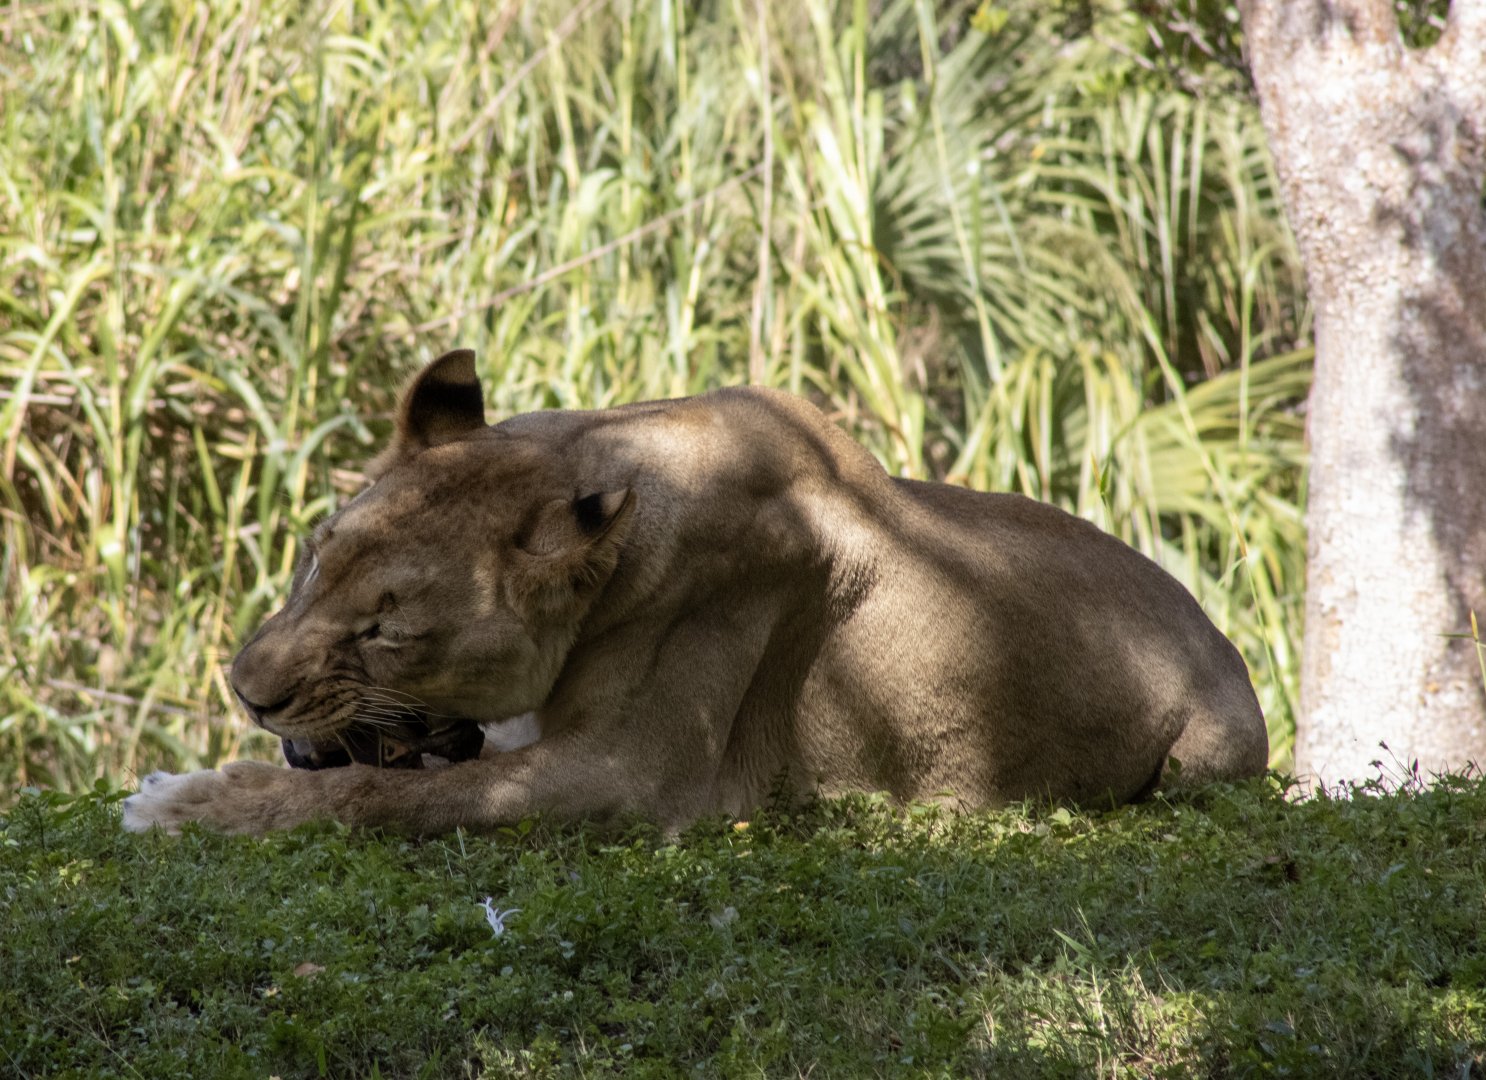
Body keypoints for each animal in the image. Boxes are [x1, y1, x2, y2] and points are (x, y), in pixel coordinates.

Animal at [123, 349, 1268, 836]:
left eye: (387, 632)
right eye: (316, 559)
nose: (247, 691)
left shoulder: (632, 779)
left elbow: (388, 796)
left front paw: (185, 801)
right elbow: (399, 773)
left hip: (1205, 762)